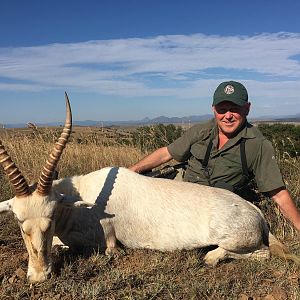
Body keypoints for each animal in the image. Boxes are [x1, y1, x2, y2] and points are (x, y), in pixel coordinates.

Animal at [0, 95, 298, 282]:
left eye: (50, 218)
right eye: (19, 221)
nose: (40, 276)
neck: (82, 196)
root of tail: (256, 213)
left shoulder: (104, 241)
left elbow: (78, 247)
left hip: (234, 241)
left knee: (260, 254)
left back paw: (211, 258)